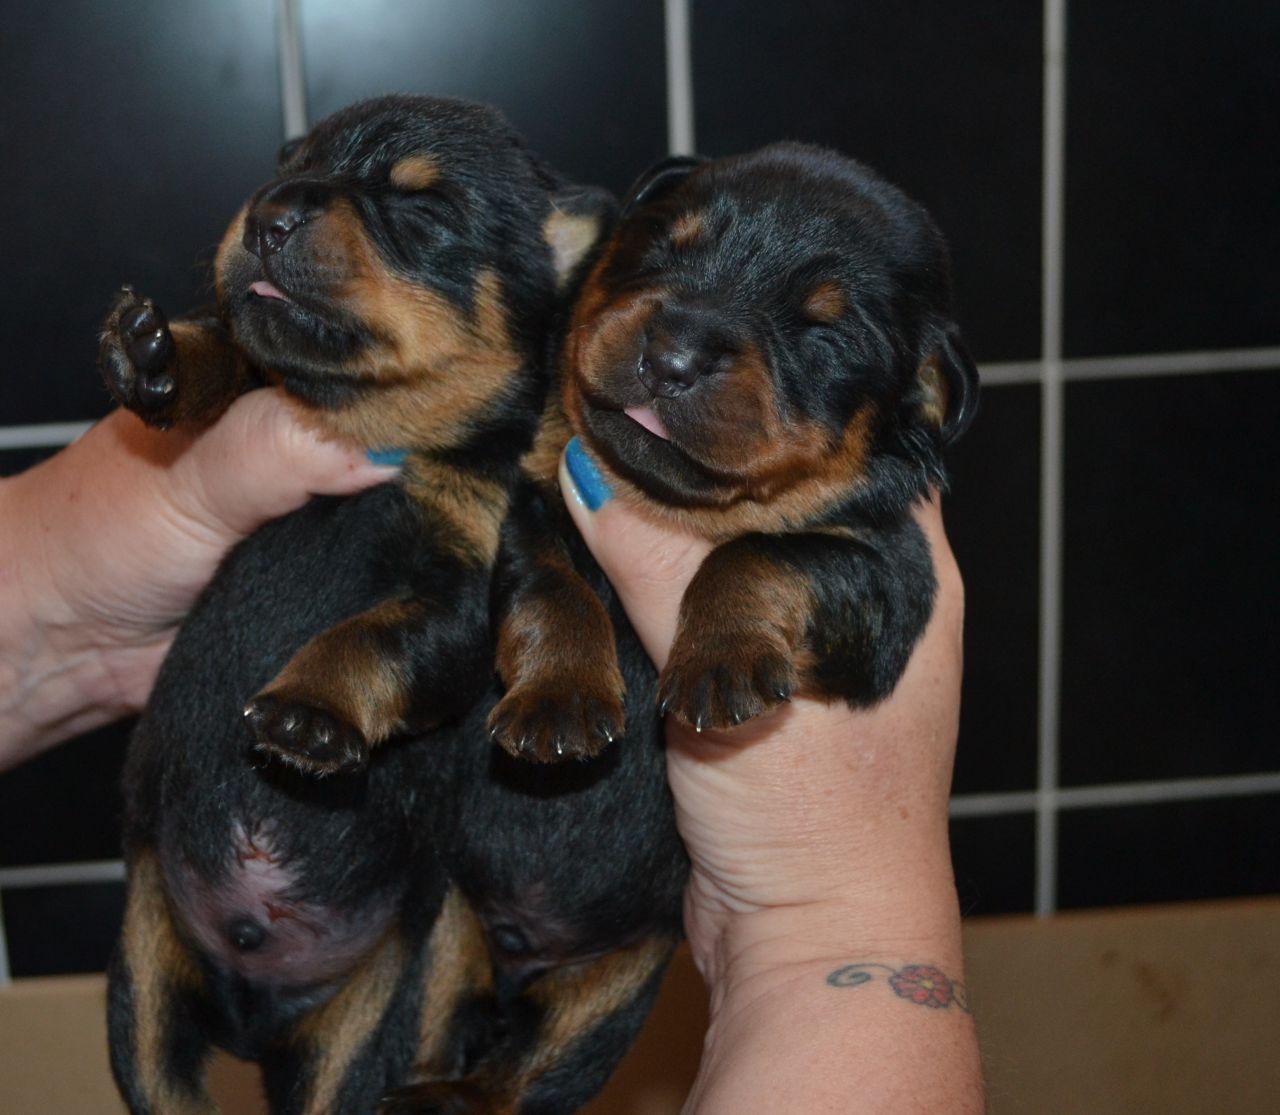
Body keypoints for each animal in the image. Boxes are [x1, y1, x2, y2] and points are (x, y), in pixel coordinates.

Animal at [98, 96, 645, 1115]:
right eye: (289, 168)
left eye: (422, 209)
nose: (268, 213)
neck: (379, 429)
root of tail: (252, 1012)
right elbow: (235, 354)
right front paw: (154, 357)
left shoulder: (463, 585)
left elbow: (377, 638)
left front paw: (310, 711)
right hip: (146, 961)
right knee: (158, 1073)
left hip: (387, 1011)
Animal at [488, 139, 977, 762]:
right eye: (662, 243)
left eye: (826, 336)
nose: (671, 360)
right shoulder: (528, 495)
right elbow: (544, 581)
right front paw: (558, 693)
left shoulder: (897, 570)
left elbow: (759, 552)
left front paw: (719, 662)